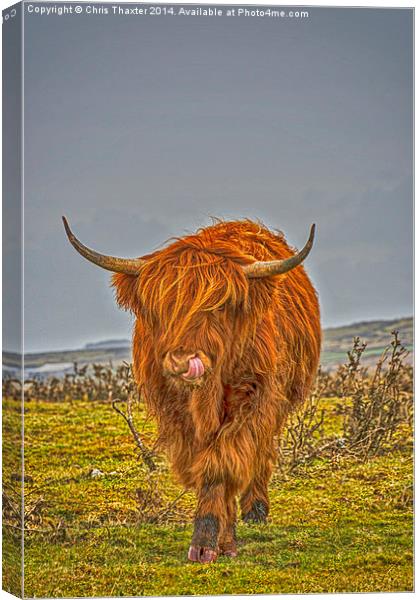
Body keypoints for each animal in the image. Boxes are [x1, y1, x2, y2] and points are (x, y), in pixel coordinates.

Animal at [62, 219, 320, 564]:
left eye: (220, 306)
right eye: (160, 308)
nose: (182, 362)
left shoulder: (253, 402)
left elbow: (221, 465)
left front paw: (209, 541)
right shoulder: (179, 417)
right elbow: (208, 468)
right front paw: (217, 539)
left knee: (261, 454)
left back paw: (255, 510)